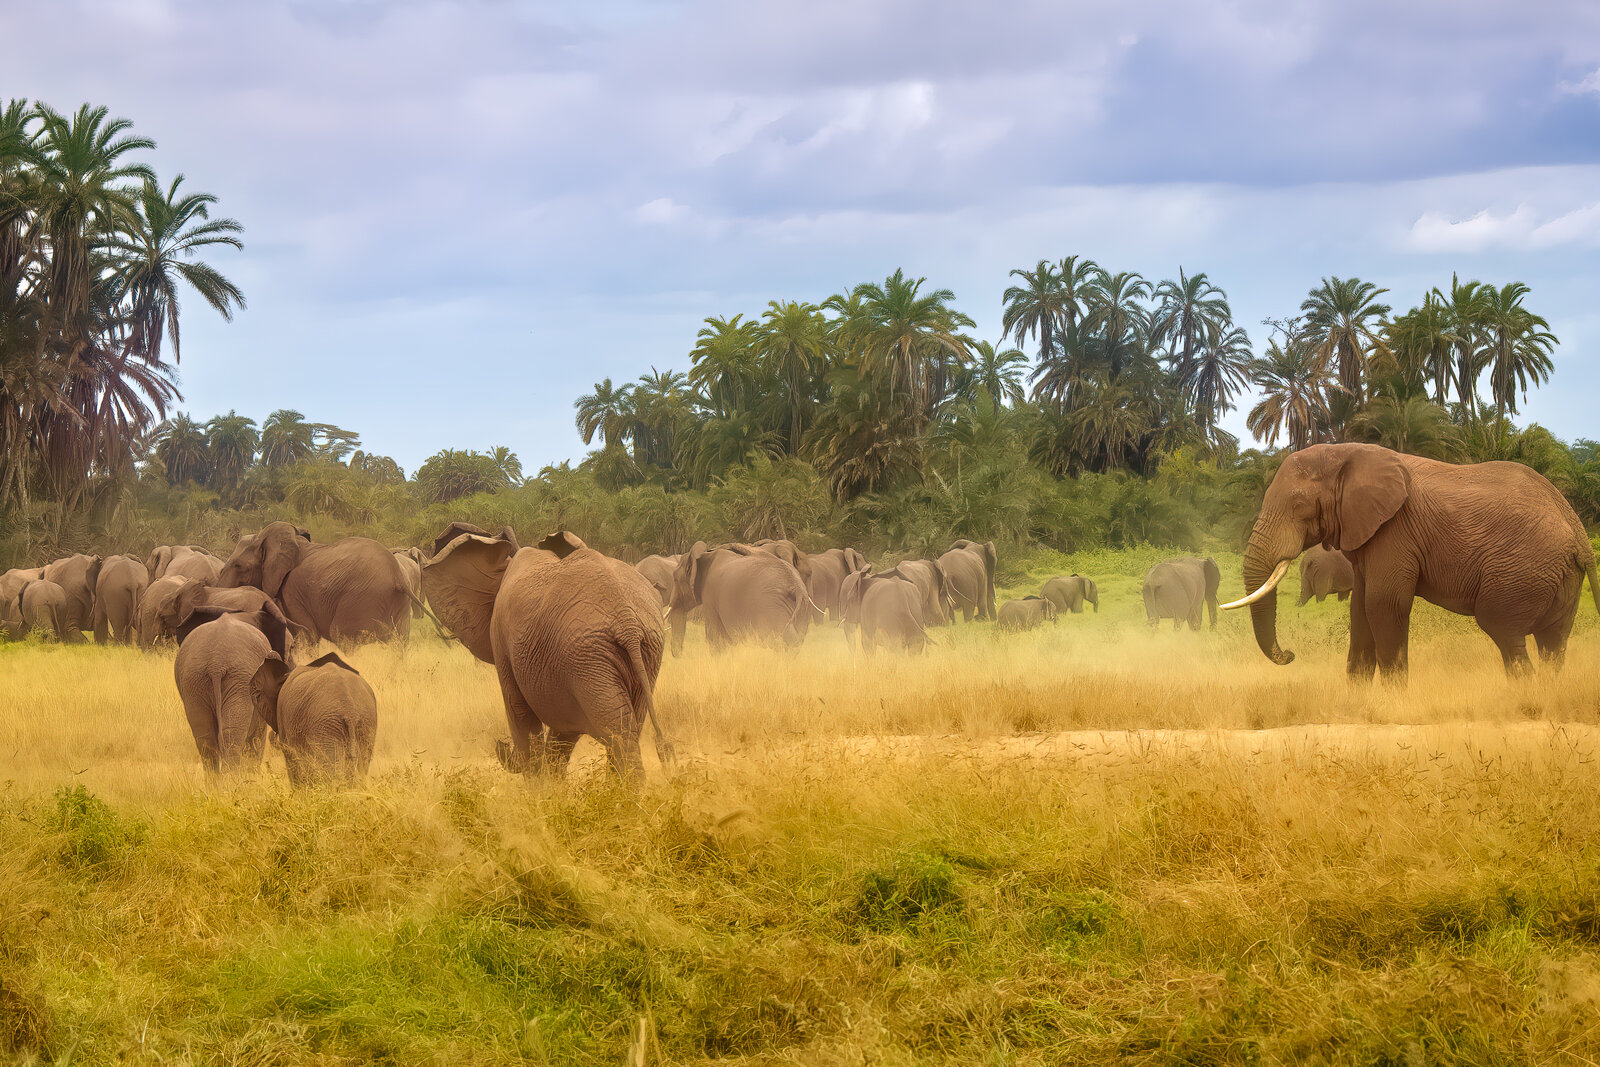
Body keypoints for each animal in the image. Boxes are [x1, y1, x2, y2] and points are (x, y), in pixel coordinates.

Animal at [172, 608, 292, 773]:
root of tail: (216, 664)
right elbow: (257, 738)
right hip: (237, 679)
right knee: (231, 737)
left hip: (194, 680)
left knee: (206, 739)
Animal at [216, 522, 410, 643]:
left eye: (238, 565)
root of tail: (398, 578)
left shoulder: (291, 592)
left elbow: (307, 634)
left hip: (362, 598)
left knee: (342, 635)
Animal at [423, 525, 669, 780]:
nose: (500, 745)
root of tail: (627, 622)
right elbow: (562, 731)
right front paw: (553, 785)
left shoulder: (503, 640)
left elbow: (519, 712)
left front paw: (540, 787)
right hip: (640, 651)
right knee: (629, 726)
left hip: (588, 657)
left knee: (617, 732)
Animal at [668, 542, 812, 655]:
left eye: (675, 579)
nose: (679, 655)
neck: (706, 554)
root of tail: (796, 588)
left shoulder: (710, 595)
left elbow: (716, 639)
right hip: (801, 612)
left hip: (772, 609)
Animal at [1225, 442, 1600, 679]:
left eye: (1299, 505)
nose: (1289, 655)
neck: (1346, 451)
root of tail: (1579, 532)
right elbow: (1361, 609)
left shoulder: (1395, 531)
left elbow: (1384, 605)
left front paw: (1394, 703)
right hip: (1559, 575)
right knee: (1553, 643)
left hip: (1523, 569)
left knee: (1504, 632)